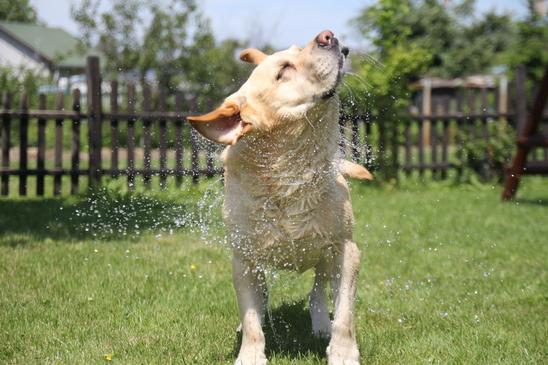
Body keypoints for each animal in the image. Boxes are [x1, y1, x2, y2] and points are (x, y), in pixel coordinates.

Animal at [187, 30, 372, 364]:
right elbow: (251, 318)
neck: (289, 174)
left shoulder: (346, 250)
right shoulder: (244, 260)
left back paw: (321, 324)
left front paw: (343, 353)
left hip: (325, 257)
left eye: (298, 50)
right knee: (260, 301)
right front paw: (250, 354)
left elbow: (345, 315)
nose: (328, 36)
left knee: (317, 292)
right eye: (283, 69)